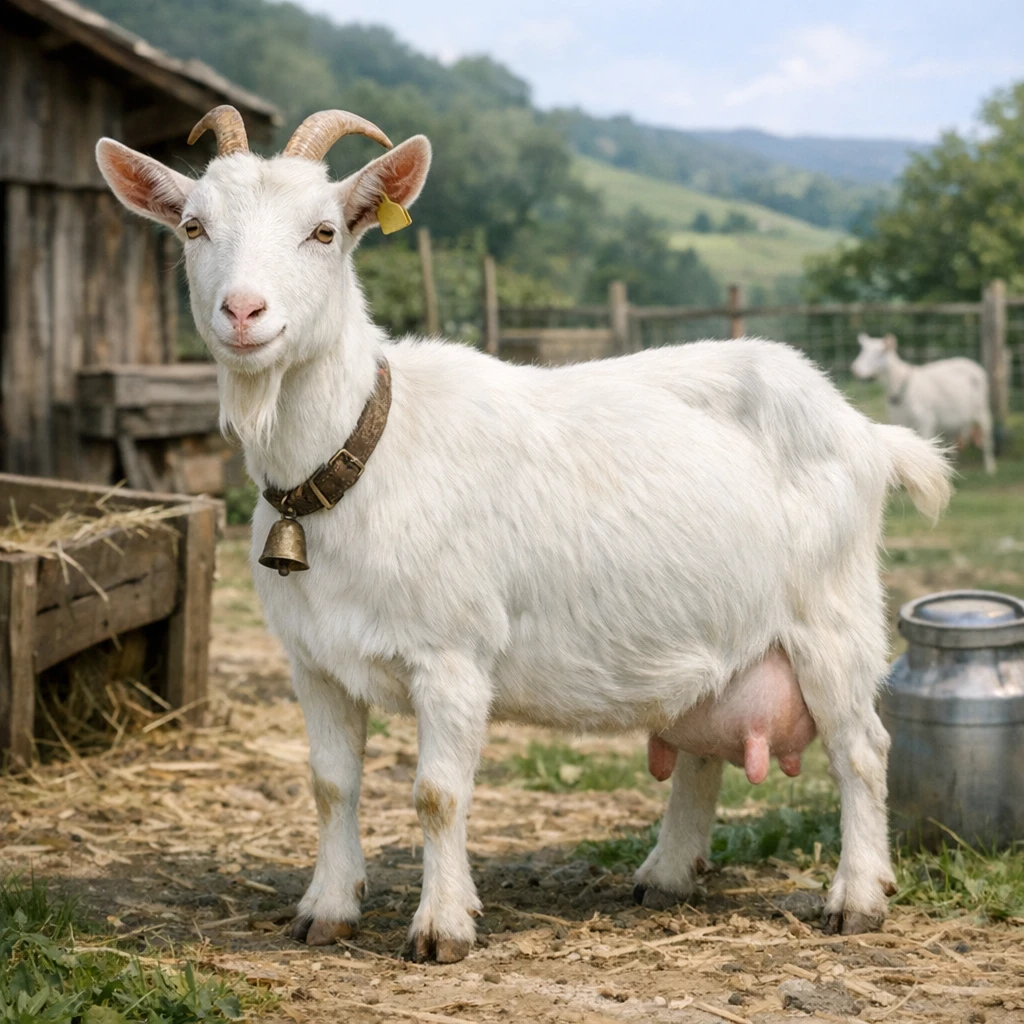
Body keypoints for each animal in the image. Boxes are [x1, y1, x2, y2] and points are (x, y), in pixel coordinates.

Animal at [97, 107, 952, 962]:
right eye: (193, 227)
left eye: (325, 231)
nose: (243, 312)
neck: (361, 454)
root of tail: (866, 431)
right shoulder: (315, 663)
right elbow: (330, 784)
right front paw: (326, 910)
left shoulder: (451, 654)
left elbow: (438, 794)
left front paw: (442, 928)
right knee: (704, 748)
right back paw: (668, 874)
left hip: (831, 616)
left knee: (862, 749)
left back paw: (857, 897)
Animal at [852, 333, 996, 474]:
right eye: (862, 351)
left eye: (880, 352)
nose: (855, 369)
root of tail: (975, 366)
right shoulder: (898, 420)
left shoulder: (926, 420)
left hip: (982, 409)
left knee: (987, 434)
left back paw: (990, 467)